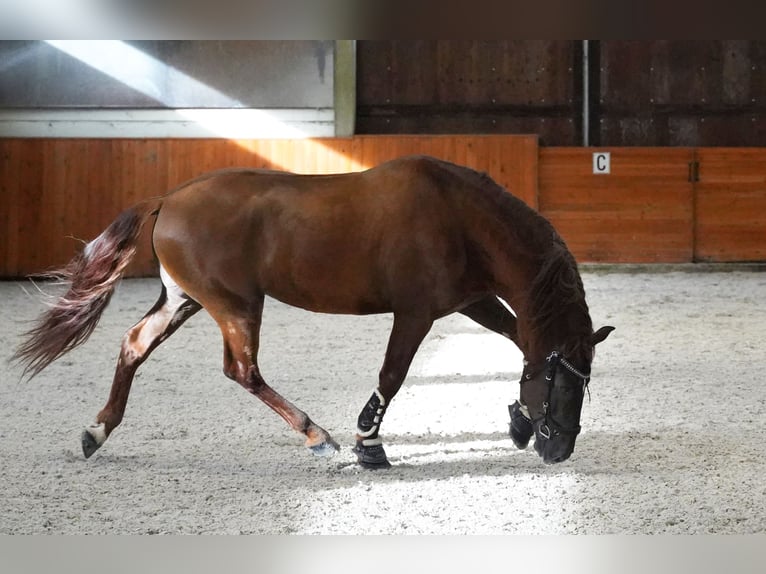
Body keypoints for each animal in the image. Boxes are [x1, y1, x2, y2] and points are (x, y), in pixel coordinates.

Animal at [13, 156, 616, 468]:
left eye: (582, 382)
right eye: (560, 382)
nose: (560, 448)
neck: (460, 217)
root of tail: (166, 199)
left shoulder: (473, 302)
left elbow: (517, 338)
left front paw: (517, 420)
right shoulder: (416, 313)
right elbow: (393, 376)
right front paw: (368, 445)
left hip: (185, 301)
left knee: (135, 346)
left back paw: (97, 432)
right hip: (235, 305)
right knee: (242, 370)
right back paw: (315, 434)